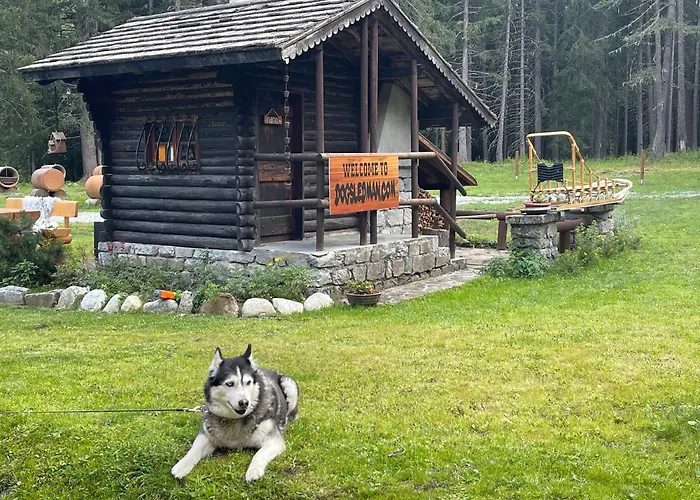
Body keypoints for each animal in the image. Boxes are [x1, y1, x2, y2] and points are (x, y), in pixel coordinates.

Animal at [171, 344, 299, 482]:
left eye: (248, 382)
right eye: (230, 384)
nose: (244, 403)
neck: (235, 418)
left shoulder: (274, 440)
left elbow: (259, 454)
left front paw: (254, 470)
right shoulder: (207, 435)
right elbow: (194, 449)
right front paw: (182, 465)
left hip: (289, 385)